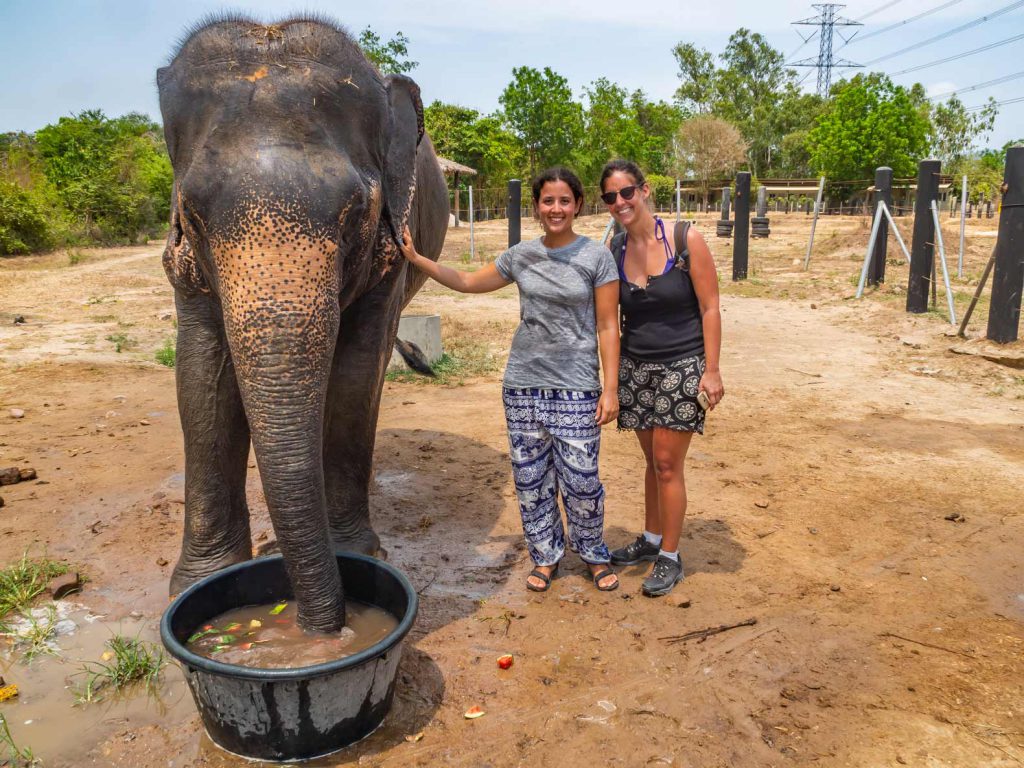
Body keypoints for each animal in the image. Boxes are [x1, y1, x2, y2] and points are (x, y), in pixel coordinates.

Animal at [157, 15, 446, 634]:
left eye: (356, 213)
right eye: (192, 214)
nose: (327, 627)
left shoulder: (392, 247)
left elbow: (357, 374)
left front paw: (358, 555)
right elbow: (200, 375)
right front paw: (197, 583)